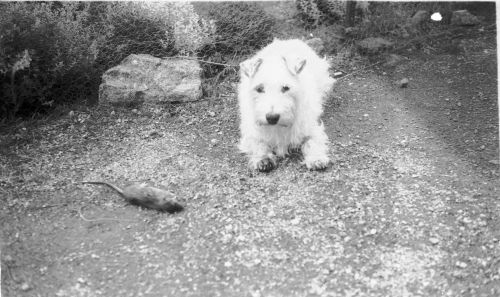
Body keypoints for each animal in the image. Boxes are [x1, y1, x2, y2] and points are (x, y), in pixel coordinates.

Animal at [237, 38, 334, 171]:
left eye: (286, 88)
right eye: (259, 89)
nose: (272, 118)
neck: (279, 127)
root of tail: (291, 40)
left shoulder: (311, 128)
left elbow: (312, 141)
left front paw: (316, 158)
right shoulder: (251, 133)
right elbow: (258, 144)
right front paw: (263, 158)